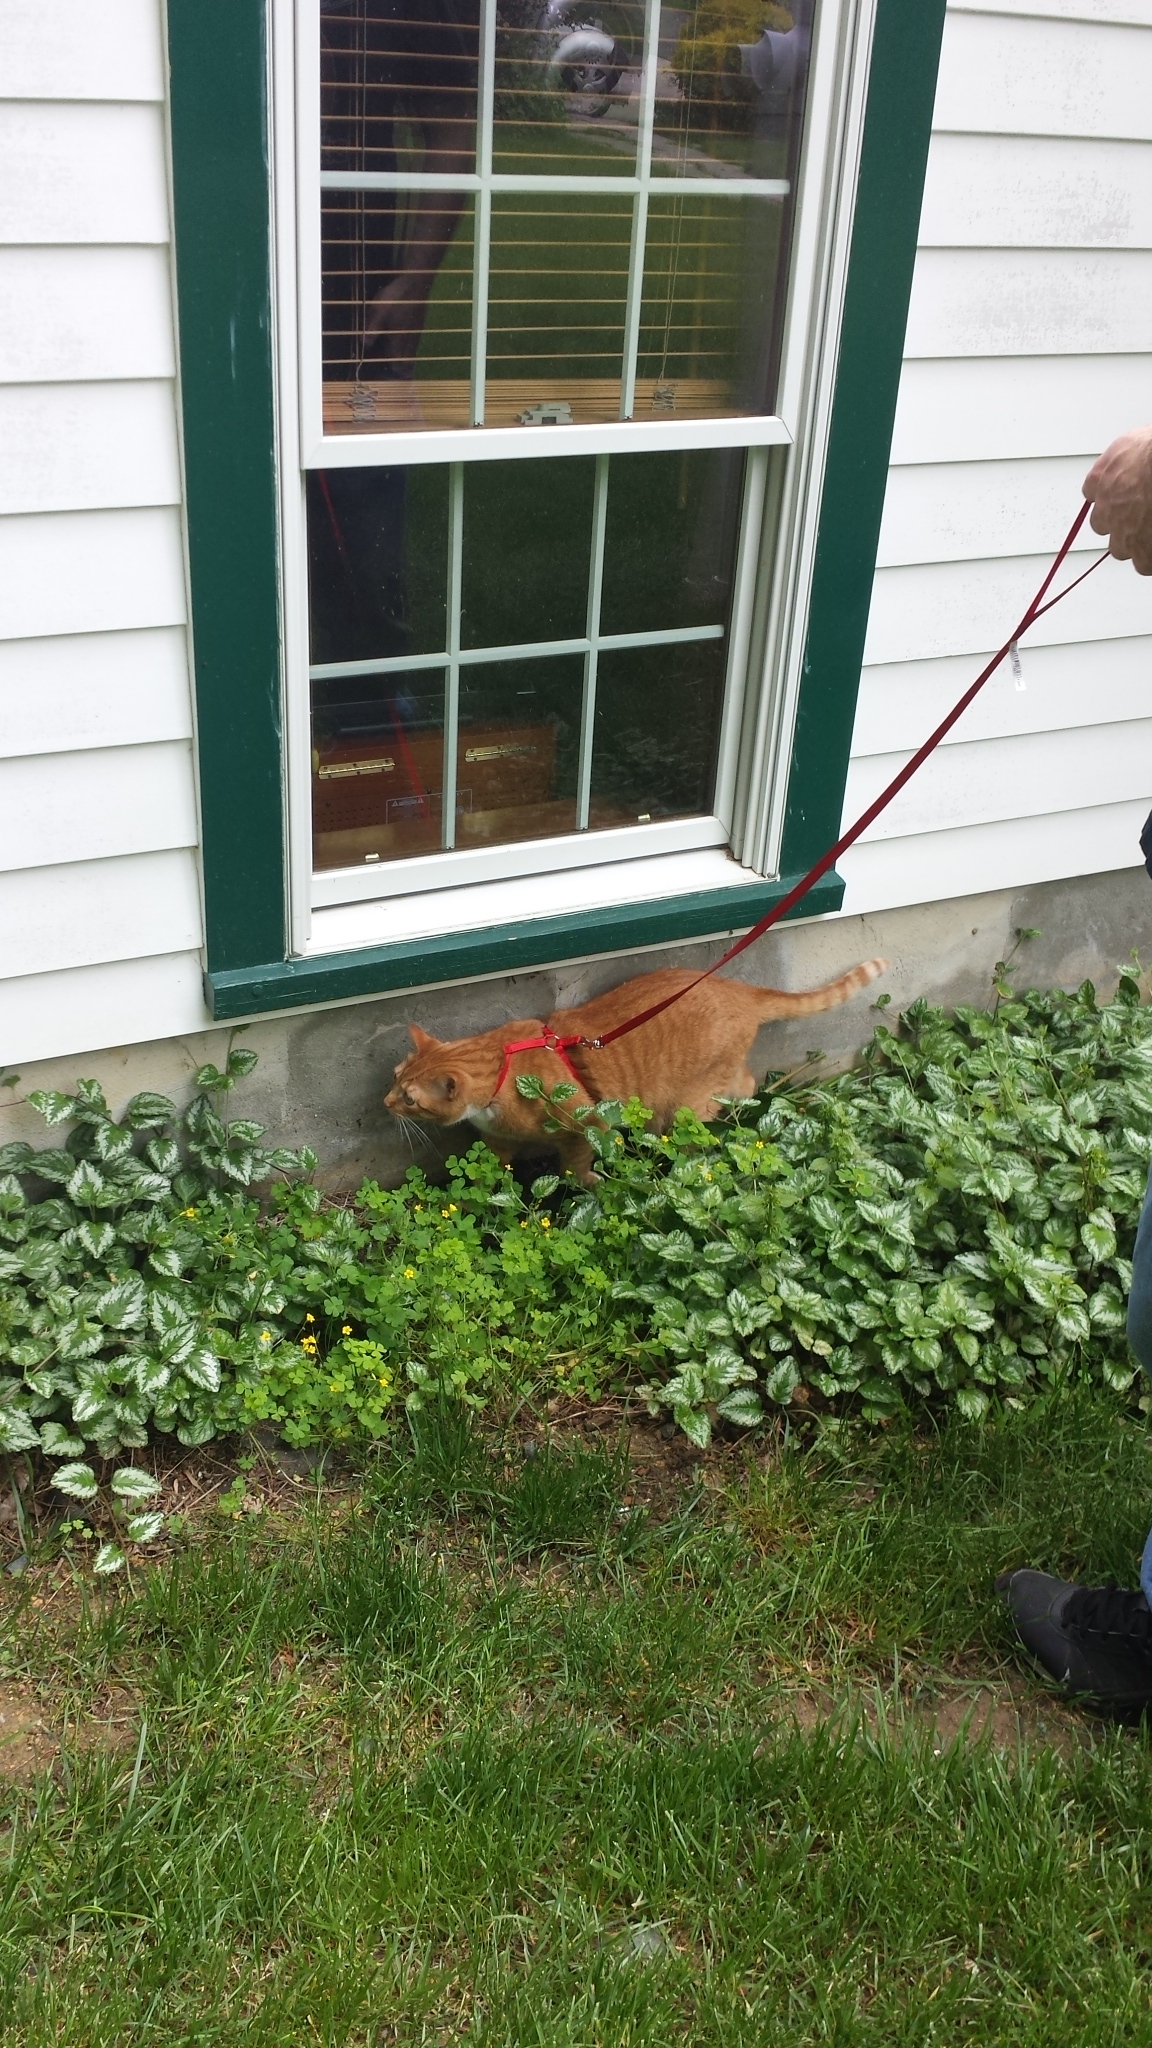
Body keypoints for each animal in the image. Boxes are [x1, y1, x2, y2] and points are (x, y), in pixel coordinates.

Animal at [385, 958, 889, 1187]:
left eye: (409, 1098)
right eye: (393, 1076)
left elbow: (574, 1166)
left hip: (685, 1104)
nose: (385, 1102)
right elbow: (492, 1166)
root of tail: (736, 987)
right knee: (745, 1082)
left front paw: (585, 1184)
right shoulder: (499, 1139)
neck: (504, 1064)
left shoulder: (585, 1125)